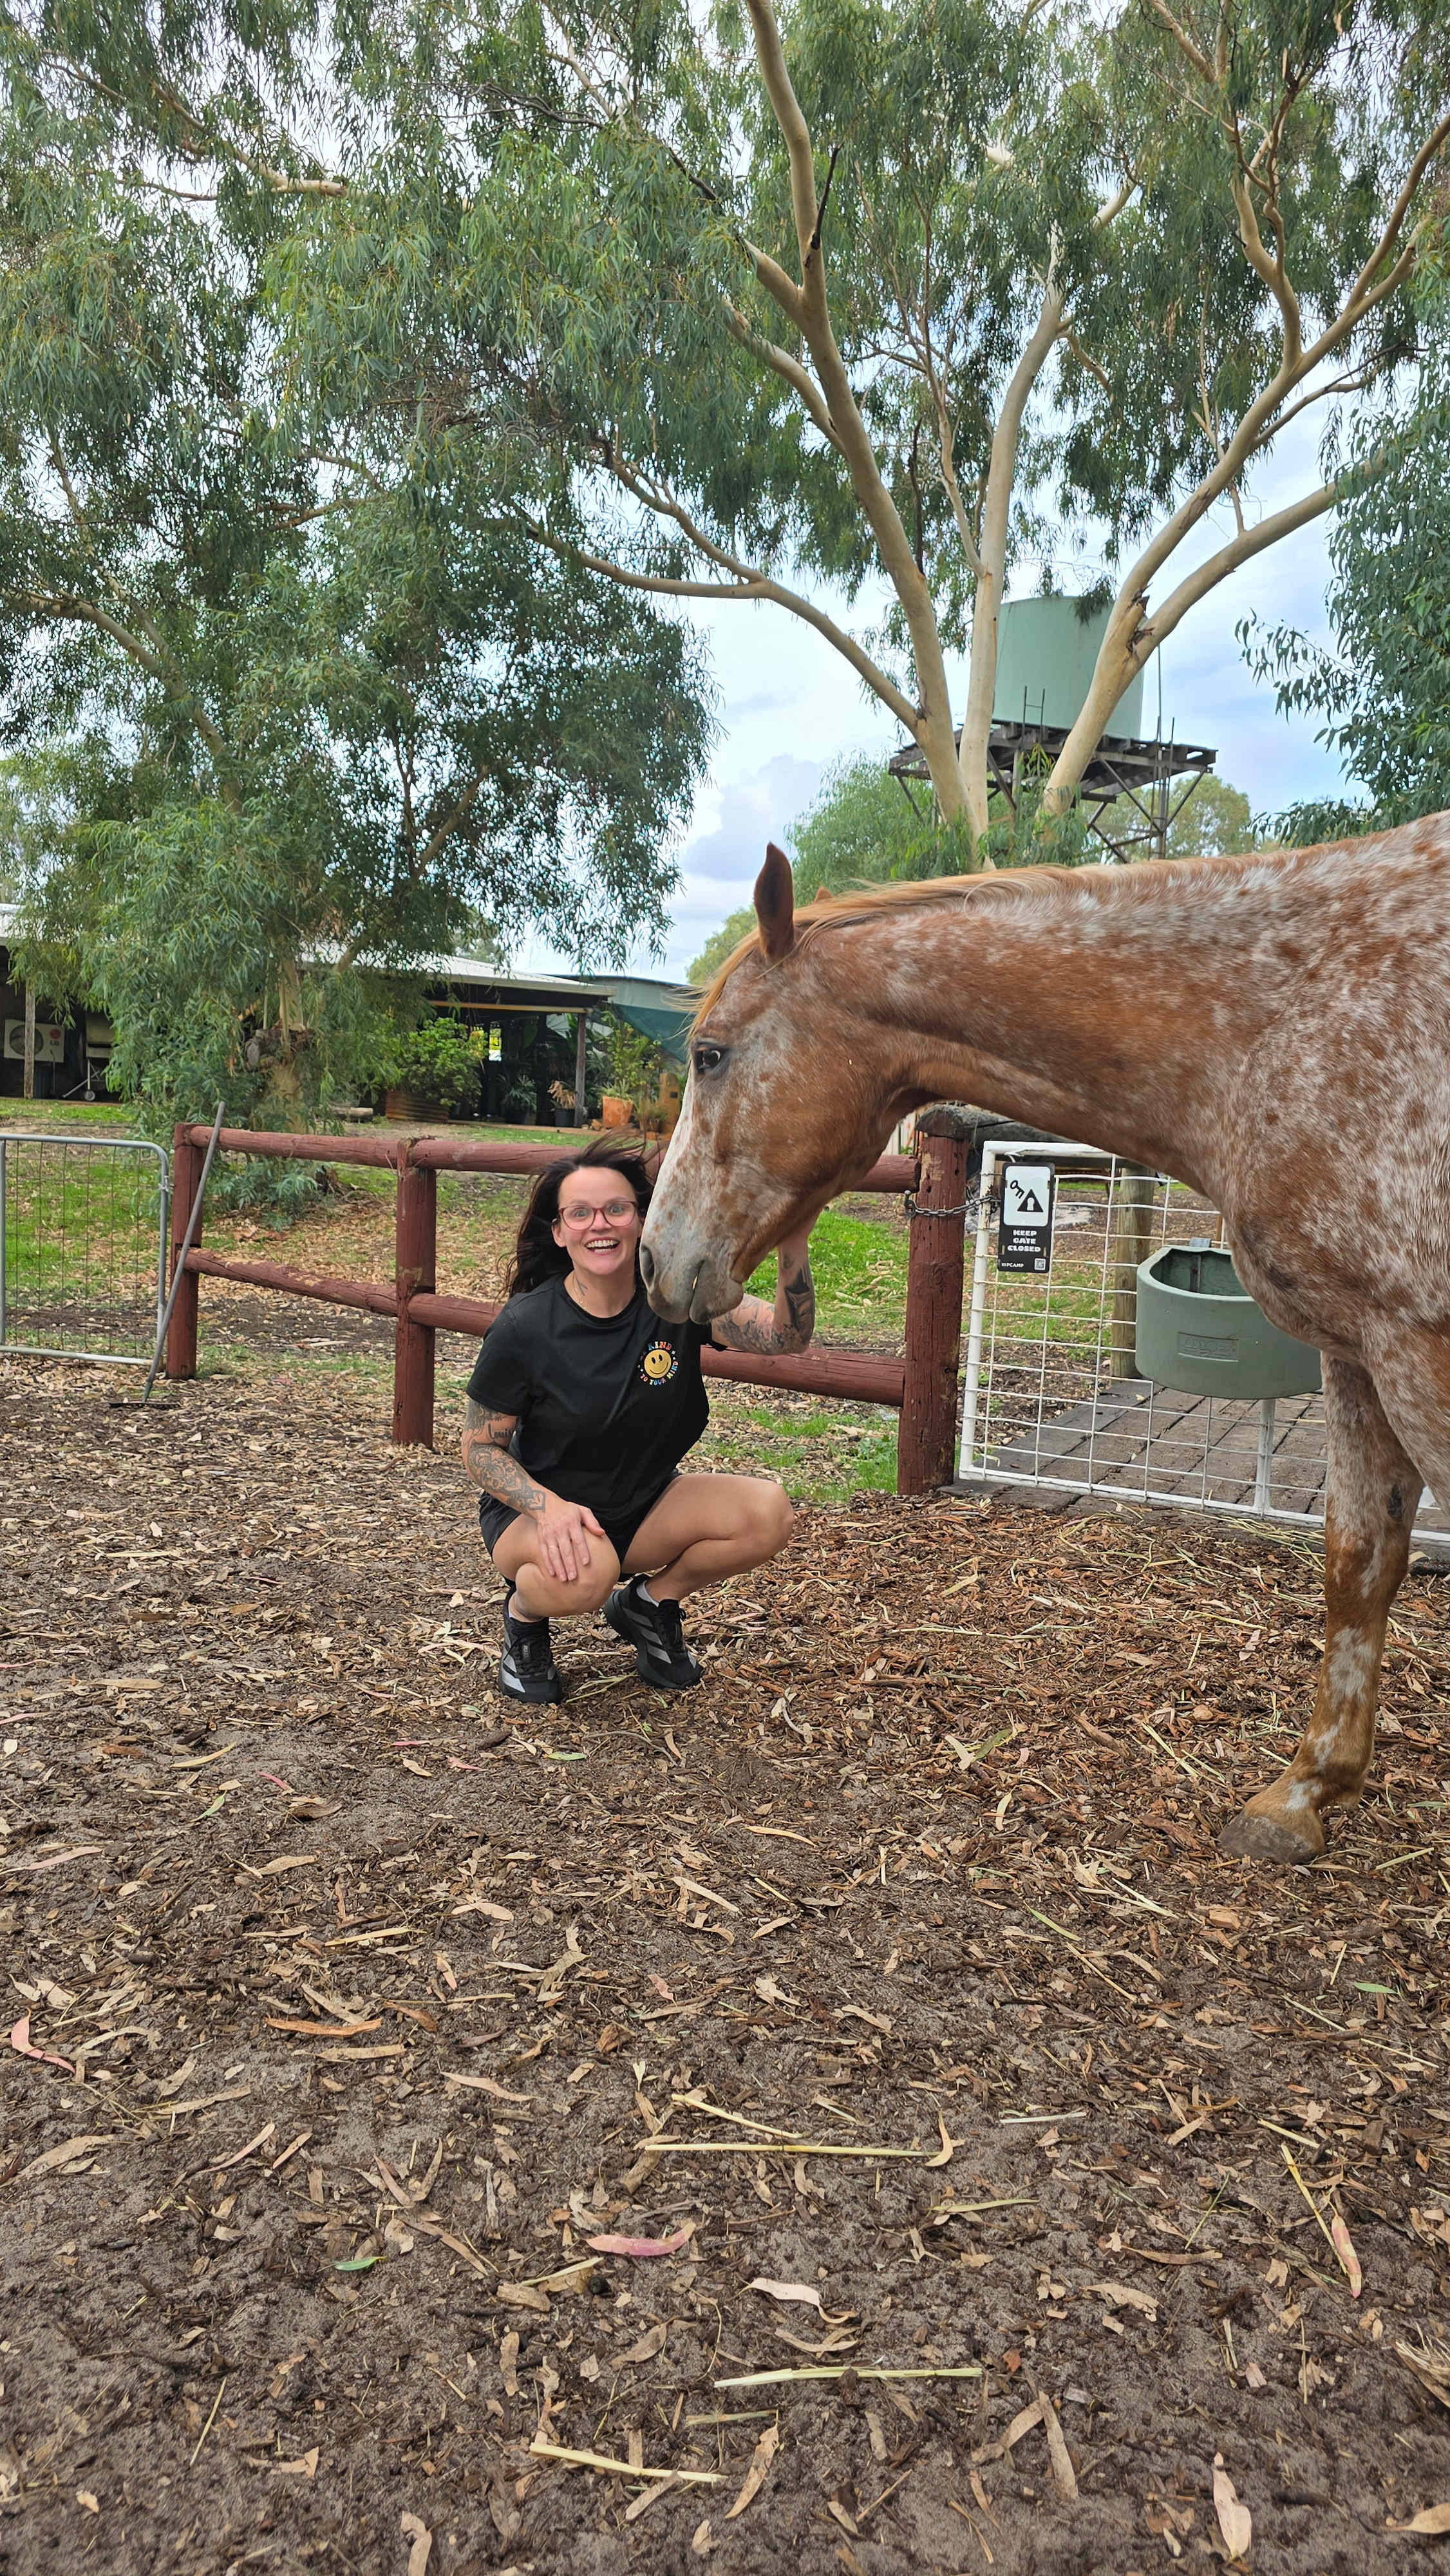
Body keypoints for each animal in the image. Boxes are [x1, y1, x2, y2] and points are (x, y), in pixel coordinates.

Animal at [639, 817, 1450, 1866]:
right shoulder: (1358, 1353)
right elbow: (1359, 1564)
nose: (656, 1258)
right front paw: (1306, 1793)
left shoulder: (1416, 1352)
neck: (1273, 1027)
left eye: (709, 1055)